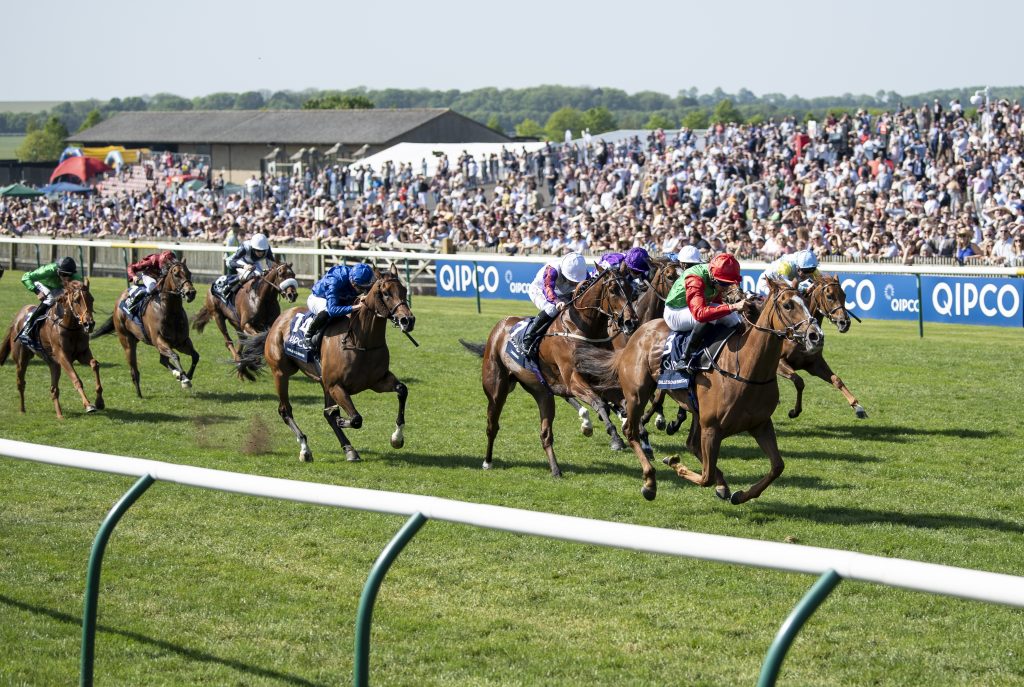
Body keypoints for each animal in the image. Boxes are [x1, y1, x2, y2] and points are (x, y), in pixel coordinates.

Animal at [0, 278, 102, 419]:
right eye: (76, 300)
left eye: (91, 299)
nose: (89, 324)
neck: (69, 326)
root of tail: (17, 318)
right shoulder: (62, 356)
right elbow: (76, 379)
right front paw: (88, 405)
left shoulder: (82, 353)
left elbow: (94, 364)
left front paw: (100, 401)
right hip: (21, 360)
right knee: (21, 383)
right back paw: (22, 410)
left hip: (53, 363)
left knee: (54, 389)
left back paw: (59, 415)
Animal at [93, 259, 202, 397]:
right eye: (176, 274)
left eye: (189, 273)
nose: (191, 293)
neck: (170, 311)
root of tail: (119, 300)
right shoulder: (160, 341)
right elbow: (175, 356)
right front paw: (185, 379)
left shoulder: (181, 342)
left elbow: (195, 356)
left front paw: (186, 376)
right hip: (127, 341)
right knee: (134, 369)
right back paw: (139, 393)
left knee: (163, 360)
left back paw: (176, 374)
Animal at [234, 266, 415, 464]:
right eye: (386, 293)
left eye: (404, 290)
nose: (407, 320)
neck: (361, 342)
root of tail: (276, 323)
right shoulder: (336, 386)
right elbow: (355, 418)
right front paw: (344, 421)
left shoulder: (377, 381)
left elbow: (402, 390)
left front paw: (397, 438)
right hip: (281, 373)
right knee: (285, 410)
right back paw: (305, 449)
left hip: (323, 382)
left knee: (326, 413)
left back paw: (349, 449)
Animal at [462, 264, 638, 479]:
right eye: (613, 290)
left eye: (630, 289)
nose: (631, 322)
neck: (580, 327)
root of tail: (500, 325)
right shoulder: (573, 380)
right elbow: (600, 404)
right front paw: (615, 438)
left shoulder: (598, 379)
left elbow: (620, 402)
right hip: (496, 389)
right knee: (492, 425)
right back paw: (487, 462)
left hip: (542, 392)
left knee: (545, 433)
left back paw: (555, 469)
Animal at [577, 280, 823, 505]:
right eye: (788, 305)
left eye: (805, 300)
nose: (816, 336)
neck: (745, 368)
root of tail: (637, 334)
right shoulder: (712, 428)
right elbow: (706, 476)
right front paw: (675, 464)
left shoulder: (760, 424)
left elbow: (777, 466)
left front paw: (740, 494)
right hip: (637, 394)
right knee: (631, 430)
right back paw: (649, 481)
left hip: (695, 410)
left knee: (691, 444)